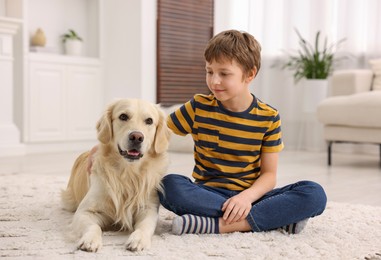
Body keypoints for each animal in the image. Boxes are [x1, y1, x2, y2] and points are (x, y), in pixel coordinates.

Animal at [60, 99, 169, 252]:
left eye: (149, 120)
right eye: (123, 116)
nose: (136, 137)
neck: (128, 173)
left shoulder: (149, 209)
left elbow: (145, 226)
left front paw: (138, 240)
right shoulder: (85, 211)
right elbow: (93, 226)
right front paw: (90, 240)